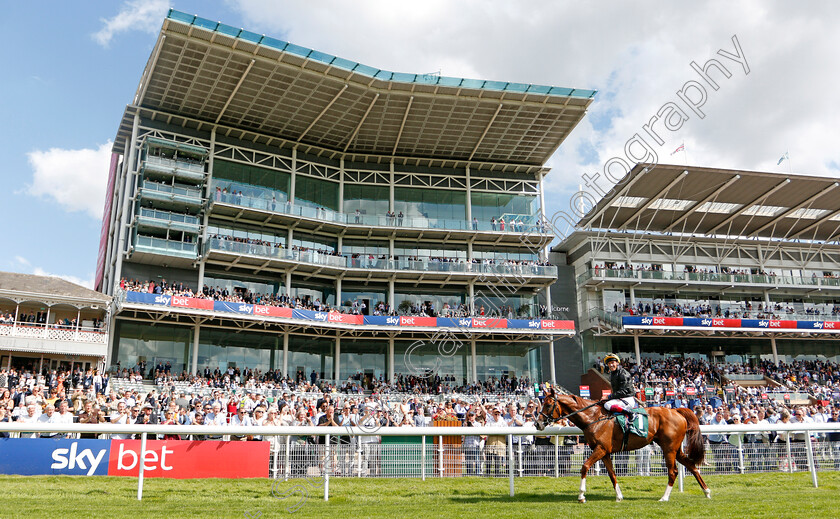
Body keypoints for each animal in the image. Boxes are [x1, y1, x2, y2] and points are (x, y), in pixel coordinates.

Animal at [540, 390, 708, 504]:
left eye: (548, 404)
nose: (538, 422)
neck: (593, 417)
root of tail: (676, 411)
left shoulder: (600, 449)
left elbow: (585, 466)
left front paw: (581, 496)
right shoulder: (605, 452)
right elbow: (612, 474)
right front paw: (619, 496)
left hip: (669, 449)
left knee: (673, 472)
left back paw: (664, 497)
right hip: (675, 449)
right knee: (692, 466)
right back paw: (706, 491)